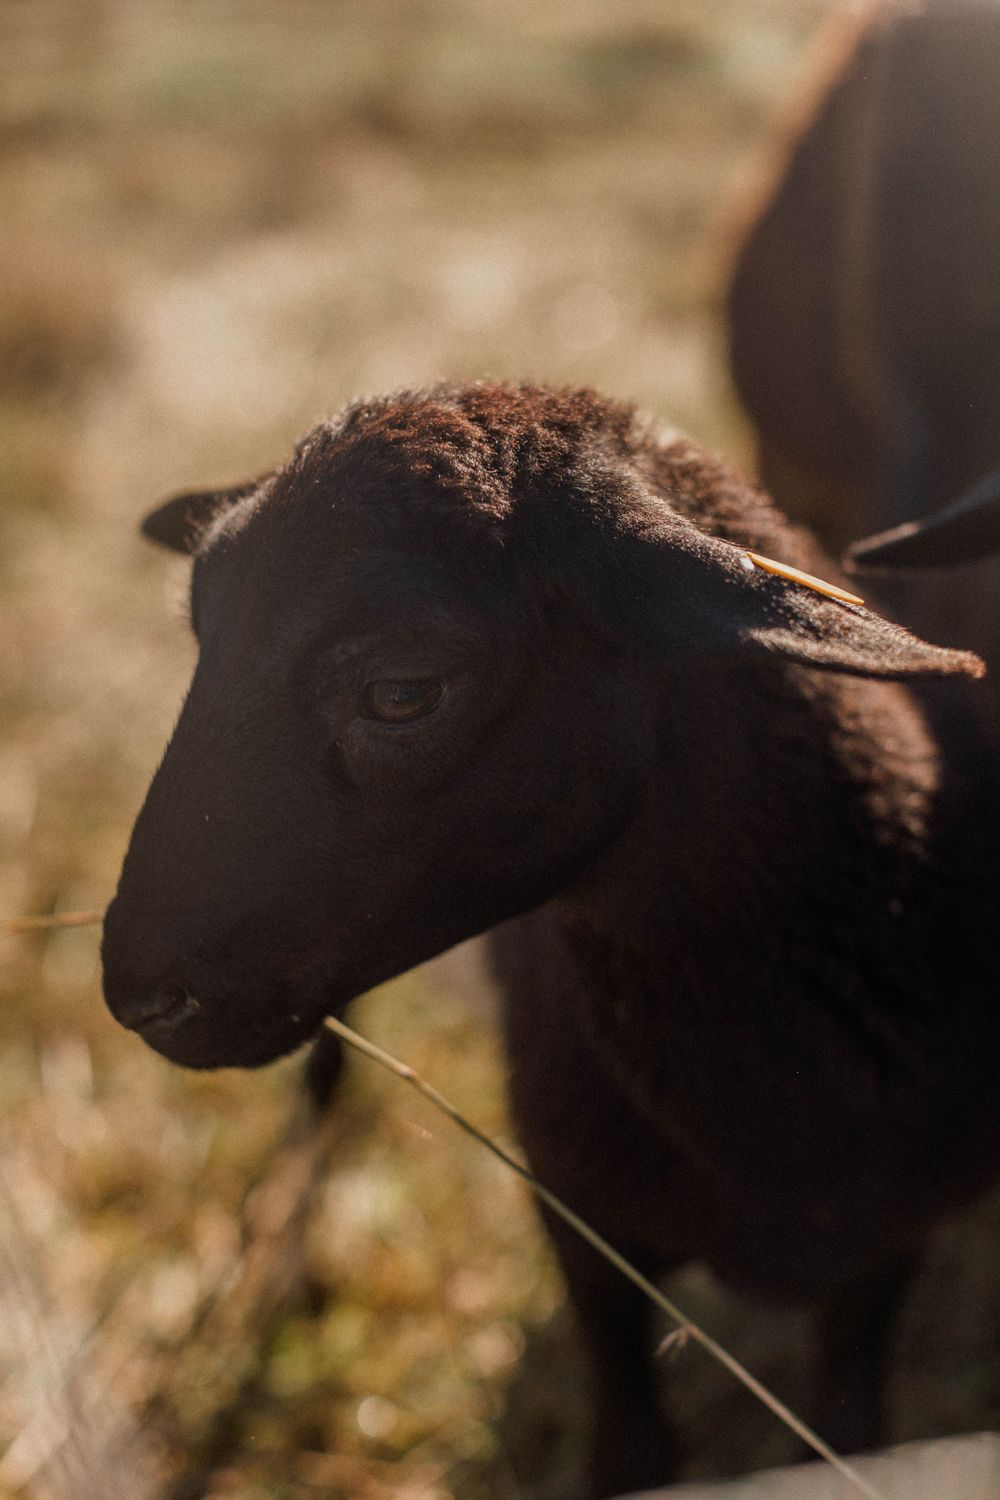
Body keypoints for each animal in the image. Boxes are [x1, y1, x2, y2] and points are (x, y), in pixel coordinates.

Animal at [101, 382, 1000, 1497]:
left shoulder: (885, 1247)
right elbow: (631, 1453)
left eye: (401, 690)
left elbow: (846, 1430)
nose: (139, 994)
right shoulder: (577, 1223)